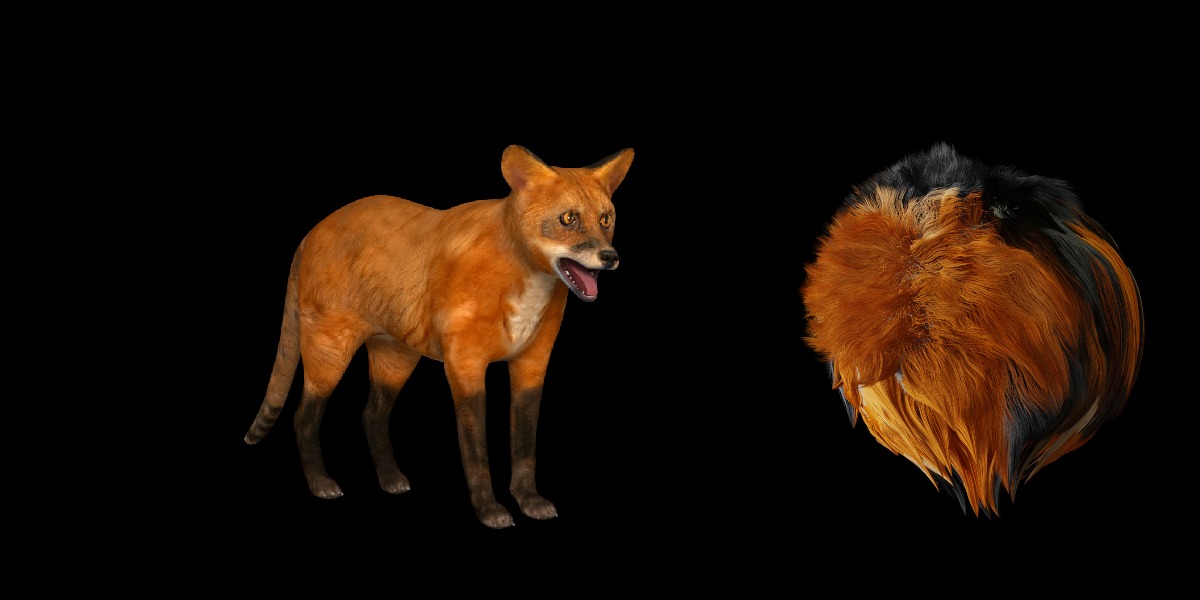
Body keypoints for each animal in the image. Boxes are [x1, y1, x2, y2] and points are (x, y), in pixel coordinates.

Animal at [244, 144, 635, 529]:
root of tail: (314, 229)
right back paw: (321, 484)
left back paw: (390, 479)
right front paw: (490, 510)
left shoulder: (532, 363)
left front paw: (529, 501)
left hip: (396, 361)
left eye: (606, 219)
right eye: (568, 219)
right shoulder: (465, 365)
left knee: (371, 415)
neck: (524, 284)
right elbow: (476, 452)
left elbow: (525, 446)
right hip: (330, 355)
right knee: (302, 418)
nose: (610, 257)